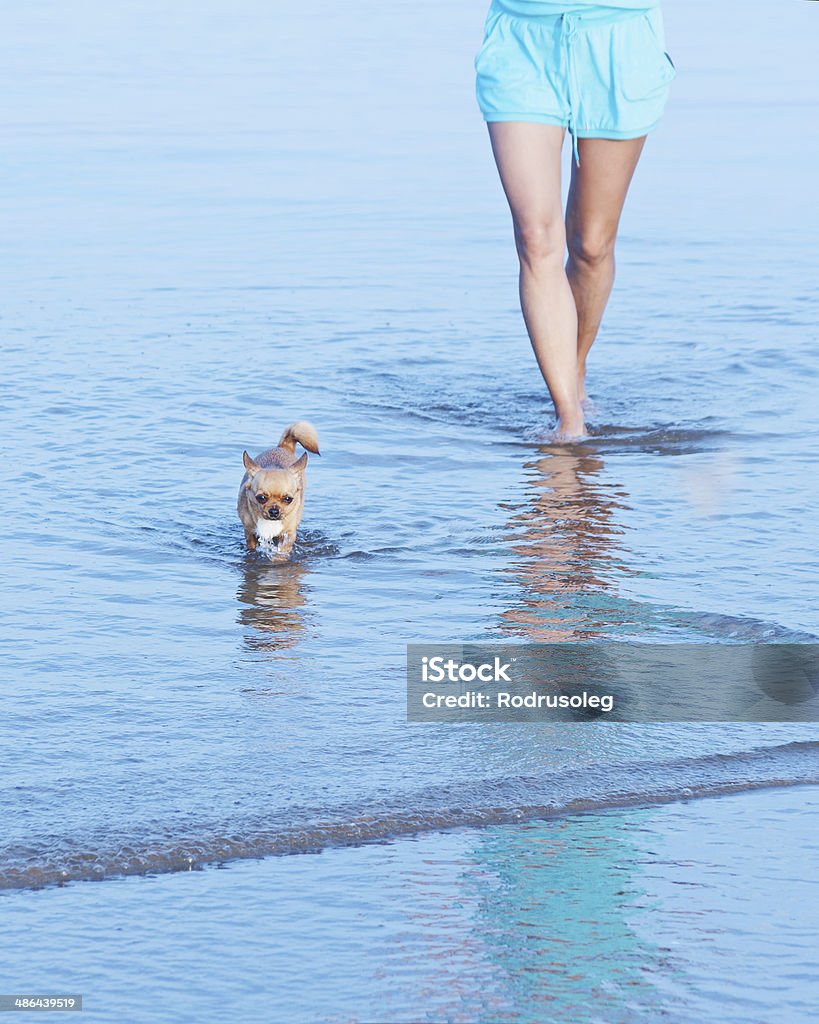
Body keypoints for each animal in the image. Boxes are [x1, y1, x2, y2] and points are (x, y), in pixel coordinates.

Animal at [236, 419, 319, 557]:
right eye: (261, 498)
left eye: (288, 499)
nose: (274, 511)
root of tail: (283, 446)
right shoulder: (250, 532)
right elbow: (251, 545)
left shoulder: (288, 534)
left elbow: (282, 550)